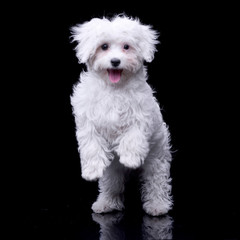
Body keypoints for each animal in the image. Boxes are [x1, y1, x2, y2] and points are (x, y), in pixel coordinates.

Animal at [69, 15, 172, 217]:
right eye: (104, 46)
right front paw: (91, 171)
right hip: (113, 171)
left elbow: (133, 136)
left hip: (157, 157)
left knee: (156, 181)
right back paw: (106, 203)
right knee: (112, 184)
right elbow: (91, 145)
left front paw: (130, 158)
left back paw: (157, 205)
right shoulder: (87, 120)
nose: (115, 61)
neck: (114, 88)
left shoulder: (141, 115)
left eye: (126, 47)